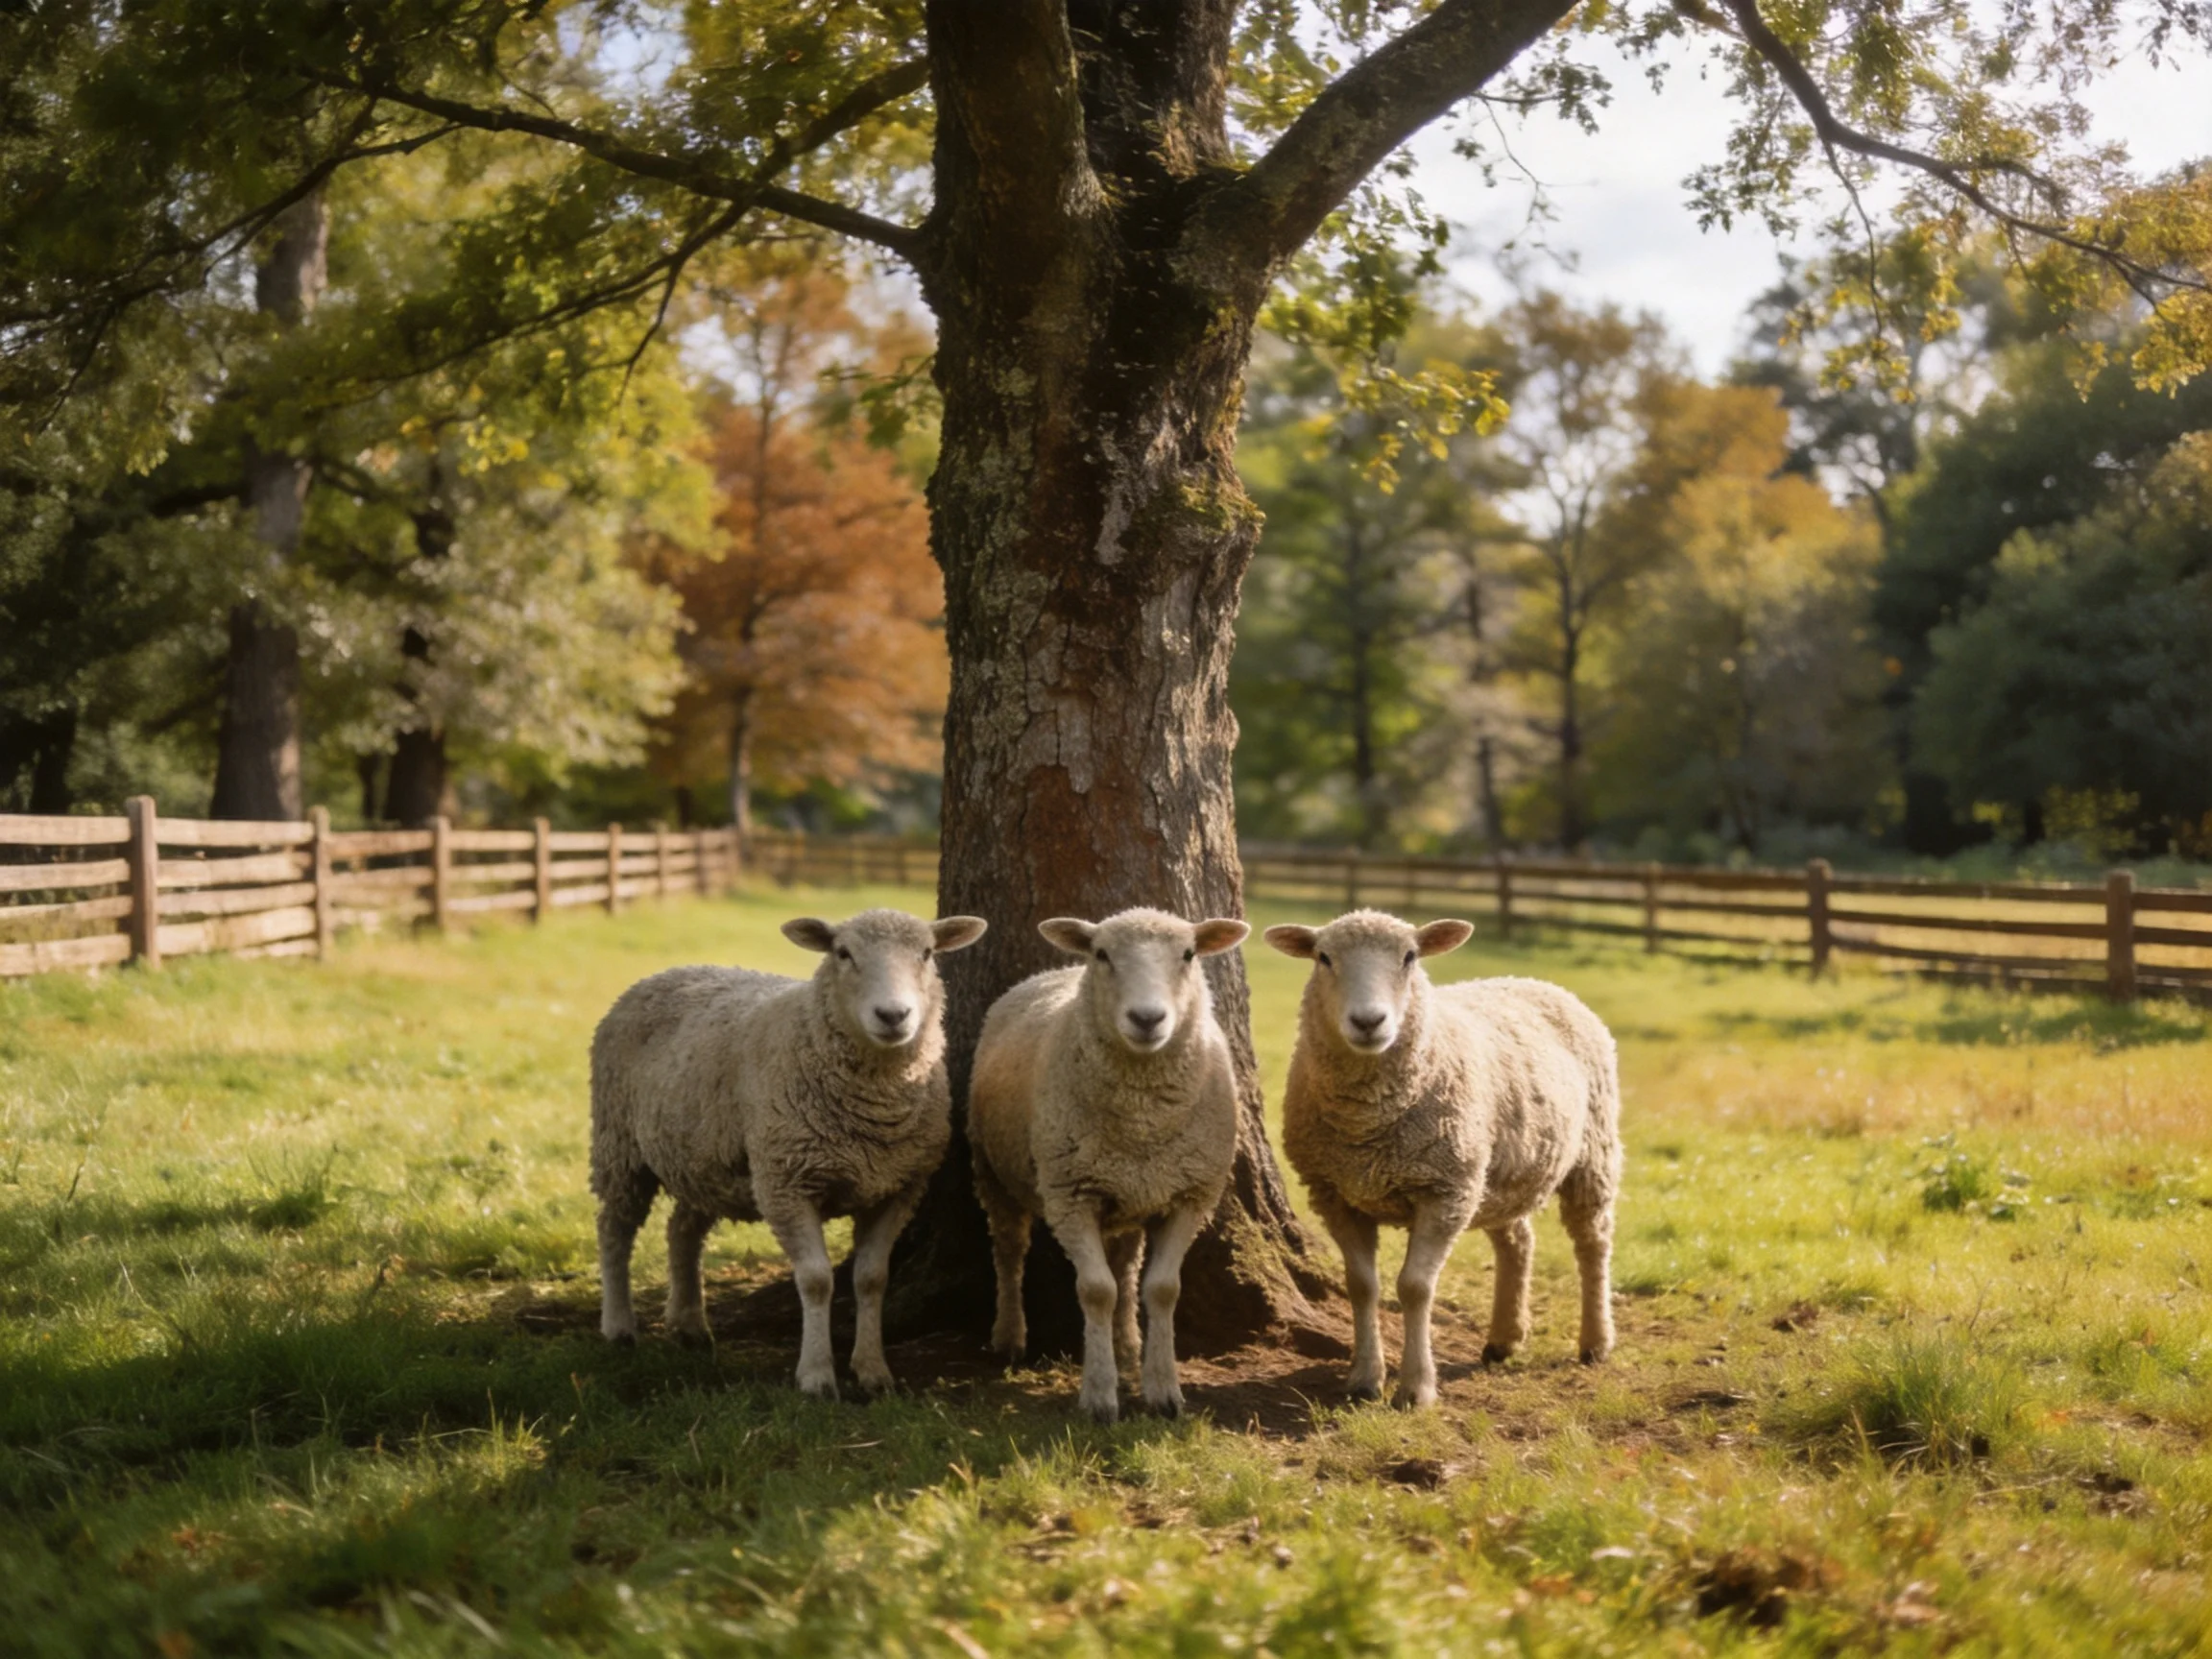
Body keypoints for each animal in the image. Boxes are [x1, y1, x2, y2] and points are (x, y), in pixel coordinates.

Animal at [590, 907, 987, 1399]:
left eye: (927, 953)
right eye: (843, 953)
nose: (893, 1015)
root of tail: (666, 971)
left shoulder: (898, 1188)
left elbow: (871, 1279)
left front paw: (873, 1371)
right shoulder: (787, 1183)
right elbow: (816, 1280)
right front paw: (816, 1375)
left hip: (703, 1160)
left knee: (681, 1230)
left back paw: (690, 1325)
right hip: (619, 1144)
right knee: (614, 1229)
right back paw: (618, 1326)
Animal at [966, 908, 1250, 1423]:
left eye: (1188, 954)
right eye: (1102, 954)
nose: (1147, 1018)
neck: (1142, 1119)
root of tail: (1053, 971)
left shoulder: (1190, 1195)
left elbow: (1162, 1289)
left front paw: (1163, 1390)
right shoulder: (1070, 1195)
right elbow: (1097, 1290)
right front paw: (1099, 1395)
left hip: (1134, 1192)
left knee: (1126, 1268)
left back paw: (1126, 1344)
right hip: (992, 1172)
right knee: (1010, 1253)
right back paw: (1010, 1336)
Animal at [1264, 910, 1621, 1408]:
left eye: (1410, 957)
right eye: (1324, 958)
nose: (1369, 1021)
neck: (1367, 1125)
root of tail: (1535, 981)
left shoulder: (1443, 1191)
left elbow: (1414, 1287)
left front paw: (1416, 1388)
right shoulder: (1336, 1193)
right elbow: (1362, 1285)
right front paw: (1364, 1379)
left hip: (1592, 1152)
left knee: (1593, 1243)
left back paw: (1595, 1342)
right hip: (1495, 1172)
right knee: (1517, 1240)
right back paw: (1504, 1338)